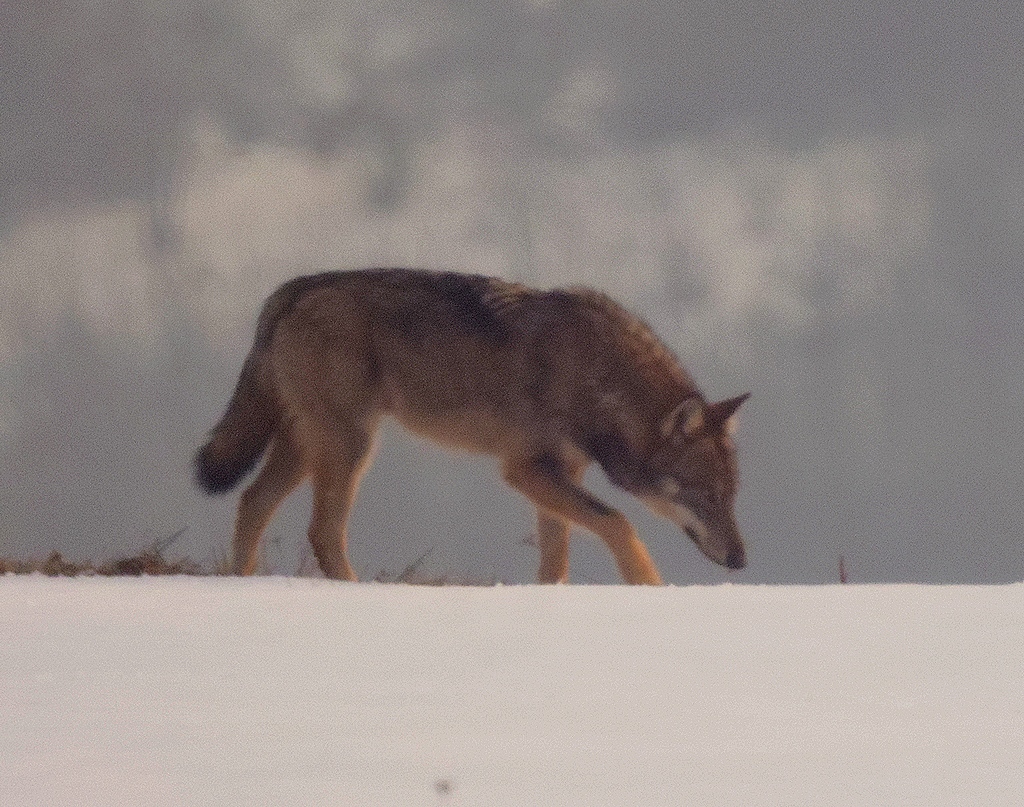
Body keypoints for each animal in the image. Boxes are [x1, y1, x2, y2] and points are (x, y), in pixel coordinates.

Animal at [194, 268, 750, 585]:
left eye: (731, 497)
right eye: (704, 495)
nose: (742, 560)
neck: (598, 376)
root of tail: (292, 290)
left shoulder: (558, 474)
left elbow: (556, 562)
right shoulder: (525, 470)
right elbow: (618, 522)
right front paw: (652, 589)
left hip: (308, 446)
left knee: (252, 501)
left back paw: (241, 585)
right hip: (351, 447)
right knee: (322, 531)